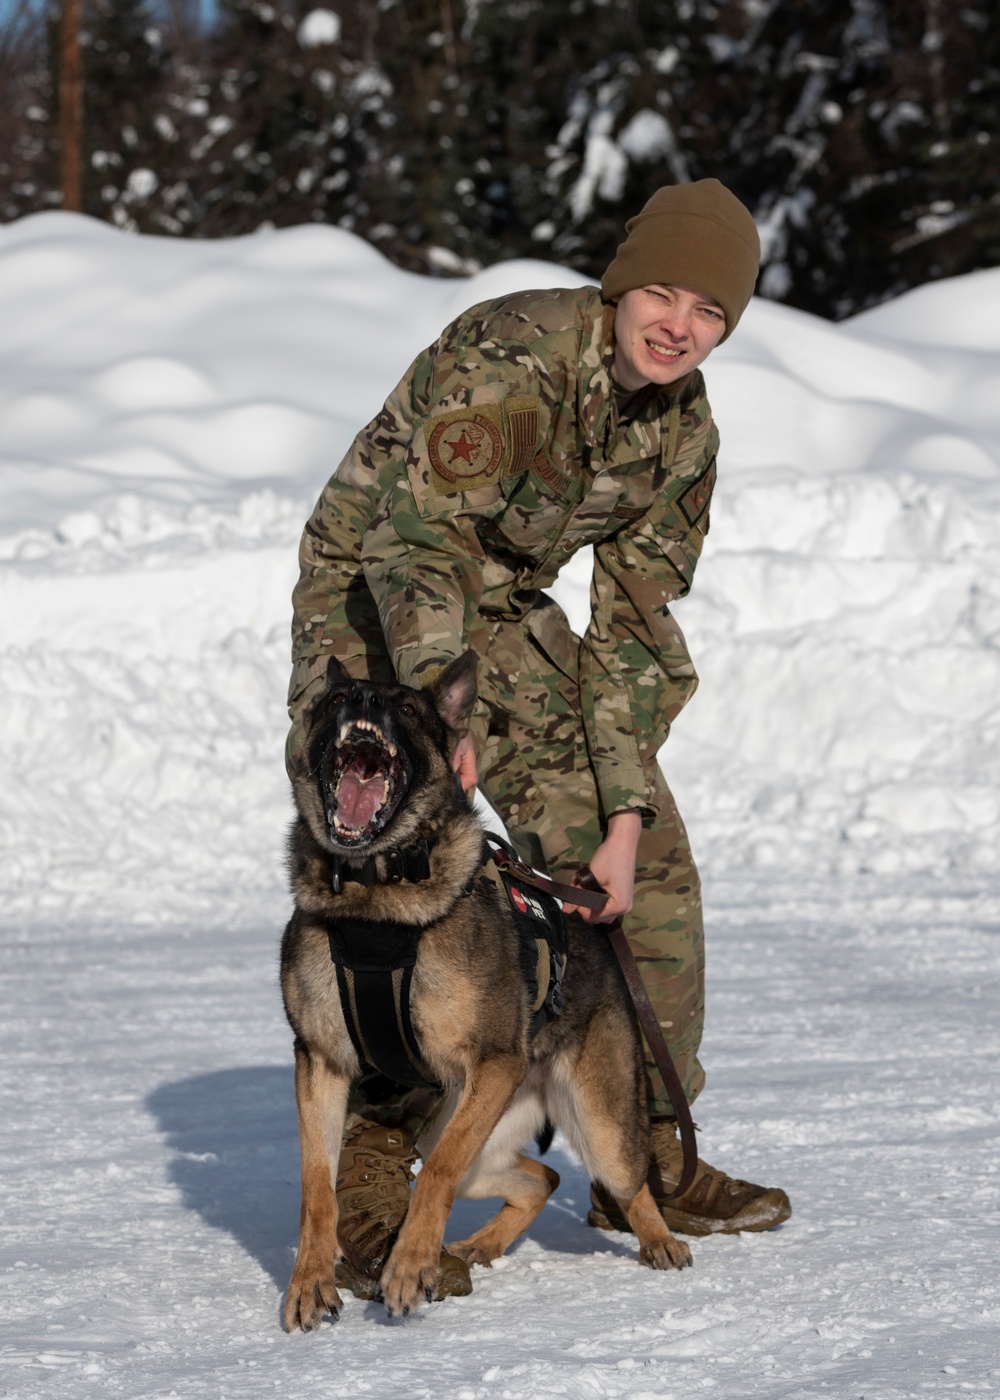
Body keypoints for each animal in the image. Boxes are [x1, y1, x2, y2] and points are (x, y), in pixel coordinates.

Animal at [275, 649, 689, 1327]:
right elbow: (316, 1185)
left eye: (407, 706)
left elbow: (436, 1175)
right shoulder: (321, 1064)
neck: (376, 897)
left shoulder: (495, 1063)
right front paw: (310, 1282)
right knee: (540, 1181)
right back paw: (478, 1246)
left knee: (628, 1185)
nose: (363, 699)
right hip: (474, 1129)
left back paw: (661, 1242)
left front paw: (409, 1266)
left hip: (594, 1123)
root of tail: (595, 930)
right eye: (334, 702)